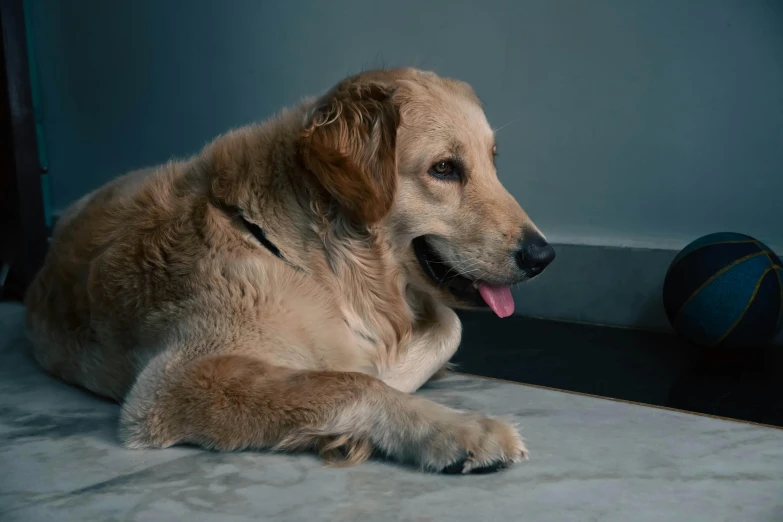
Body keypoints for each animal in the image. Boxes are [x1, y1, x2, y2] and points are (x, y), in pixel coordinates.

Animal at [24, 68, 556, 472]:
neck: (318, 264)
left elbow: (447, 328)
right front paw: (460, 428)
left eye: (492, 162)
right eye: (444, 168)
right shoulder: (173, 383)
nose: (543, 257)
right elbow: (352, 380)